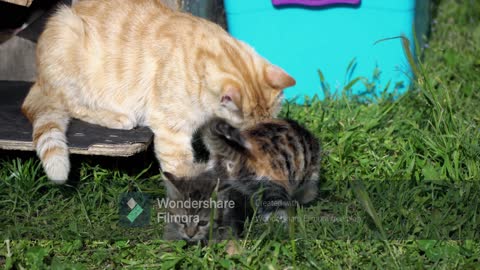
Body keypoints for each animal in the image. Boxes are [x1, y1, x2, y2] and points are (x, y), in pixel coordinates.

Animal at [21, 0, 296, 184]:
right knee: (71, 104)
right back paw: (115, 117)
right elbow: (180, 164)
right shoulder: (172, 129)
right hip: (67, 37)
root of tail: (38, 77)